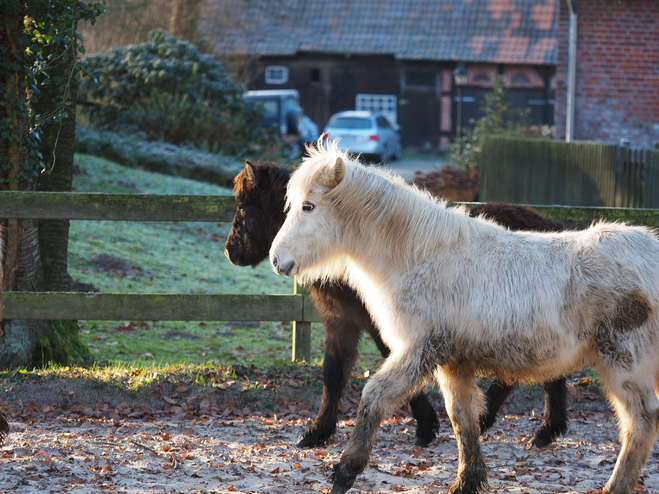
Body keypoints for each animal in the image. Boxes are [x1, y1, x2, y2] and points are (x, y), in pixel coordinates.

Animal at [270, 141, 659, 492]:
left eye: (308, 206)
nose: (277, 260)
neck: (420, 256)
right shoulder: (453, 363)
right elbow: (462, 420)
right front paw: (467, 481)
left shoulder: (418, 351)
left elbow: (373, 398)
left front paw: (344, 472)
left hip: (624, 363)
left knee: (640, 423)